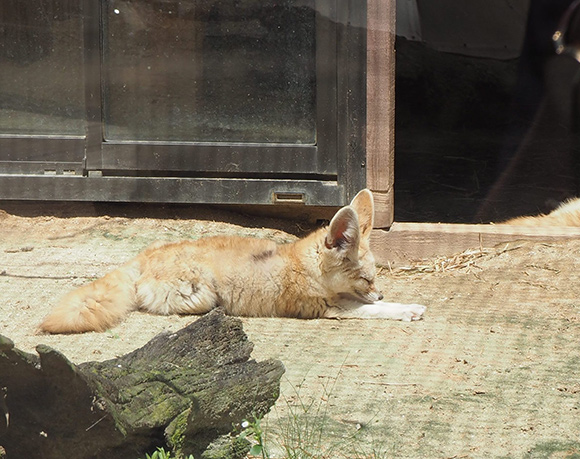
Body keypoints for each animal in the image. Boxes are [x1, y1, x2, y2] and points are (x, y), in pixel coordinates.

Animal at [39, 190, 426, 334]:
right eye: (366, 279)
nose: (379, 292)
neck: (304, 267)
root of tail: (143, 255)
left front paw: (401, 304)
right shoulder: (325, 308)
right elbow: (372, 311)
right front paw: (402, 308)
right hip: (201, 294)